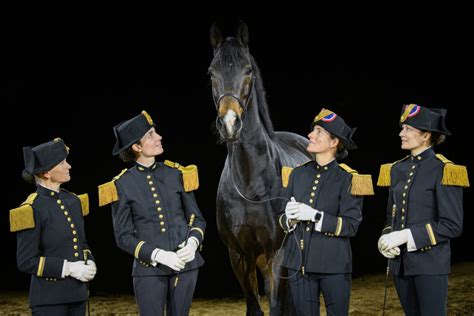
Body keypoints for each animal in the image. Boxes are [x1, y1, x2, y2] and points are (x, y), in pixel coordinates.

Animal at [207, 21, 312, 314]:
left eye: (248, 70)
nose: (229, 123)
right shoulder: (239, 256)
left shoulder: (277, 254)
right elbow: (254, 306)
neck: (249, 183)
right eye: (211, 72)